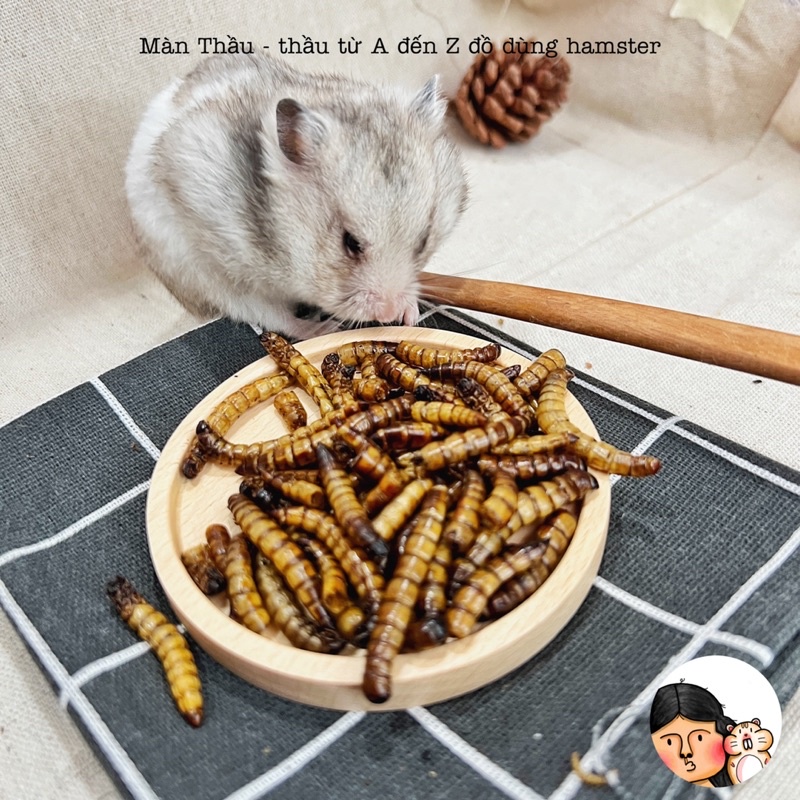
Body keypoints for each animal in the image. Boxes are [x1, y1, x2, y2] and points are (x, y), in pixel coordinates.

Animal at [125, 52, 468, 339]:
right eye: (350, 243)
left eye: (423, 241)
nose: (388, 315)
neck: (285, 246)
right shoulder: (220, 266)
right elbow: (267, 311)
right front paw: (326, 329)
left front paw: (410, 314)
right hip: (193, 272)